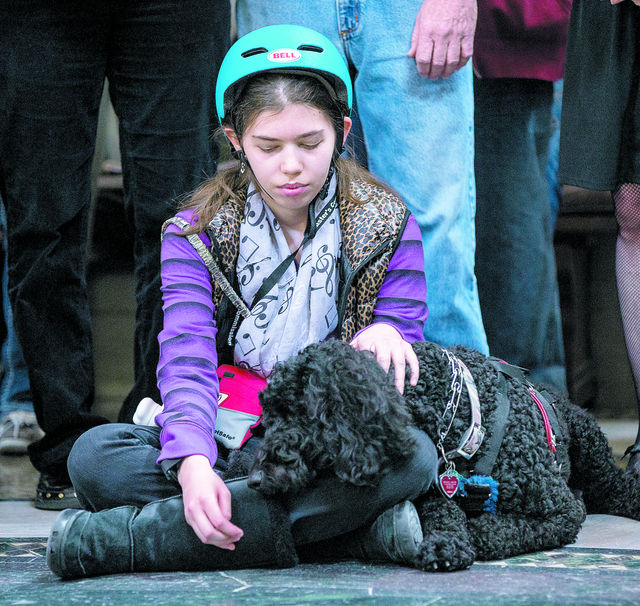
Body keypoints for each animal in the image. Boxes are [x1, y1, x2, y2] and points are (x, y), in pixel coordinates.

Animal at [228, 342, 640, 576]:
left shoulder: (561, 512)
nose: (253, 479)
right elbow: (444, 511)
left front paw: (469, 535)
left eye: (296, 414)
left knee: (615, 488)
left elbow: (497, 529)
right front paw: (447, 542)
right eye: (268, 414)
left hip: (591, 451)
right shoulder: (439, 487)